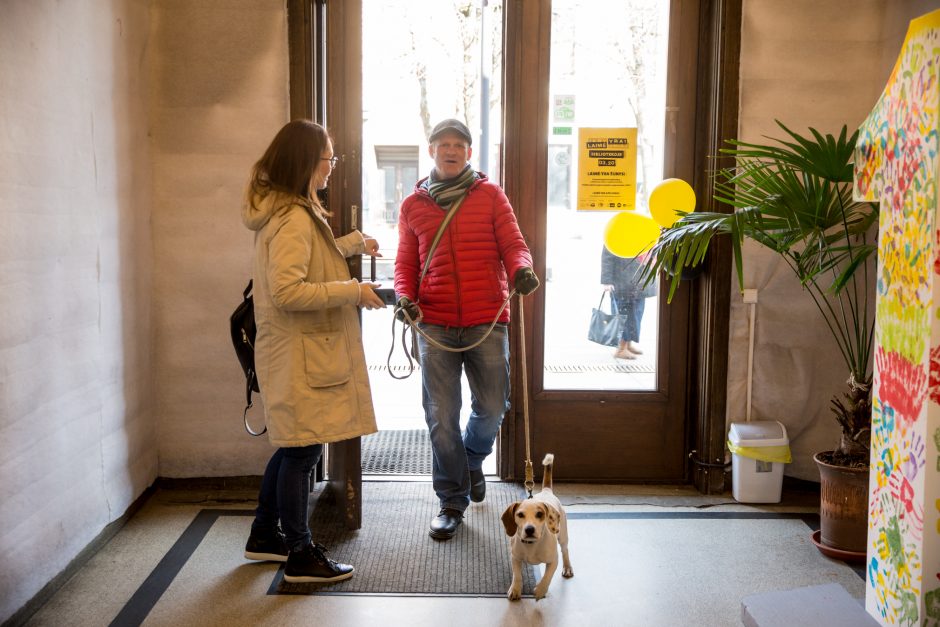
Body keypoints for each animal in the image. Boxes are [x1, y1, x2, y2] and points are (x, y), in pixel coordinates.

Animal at [500, 454, 572, 600]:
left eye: (539, 514)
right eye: (520, 514)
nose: (529, 529)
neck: (531, 544)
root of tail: (546, 491)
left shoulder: (553, 561)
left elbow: (547, 577)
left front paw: (540, 590)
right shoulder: (515, 557)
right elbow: (517, 575)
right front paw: (515, 589)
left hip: (563, 535)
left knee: (565, 550)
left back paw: (567, 567)